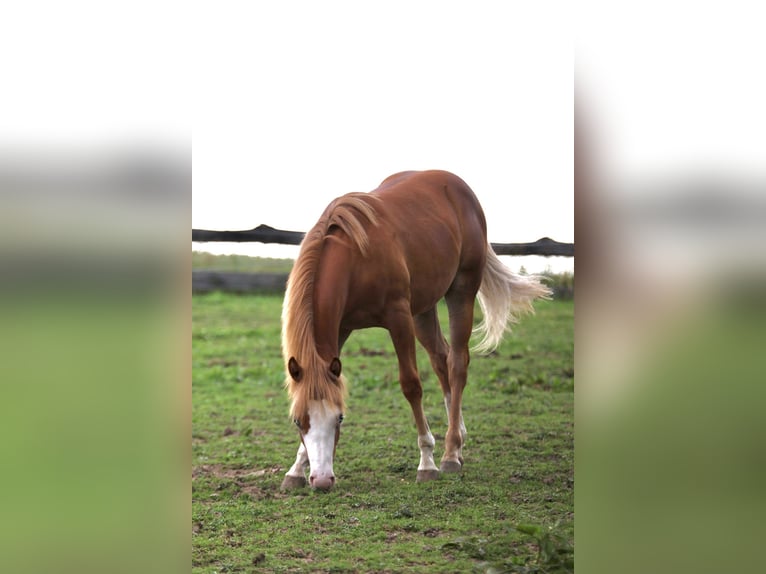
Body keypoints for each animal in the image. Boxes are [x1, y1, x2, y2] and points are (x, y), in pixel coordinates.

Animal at [280, 170, 551, 490]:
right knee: (441, 358)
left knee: (457, 363)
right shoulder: (341, 328)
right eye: (298, 421)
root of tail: (459, 187)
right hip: (423, 308)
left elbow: (411, 385)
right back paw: (458, 439)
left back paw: (449, 453)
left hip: (461, 291)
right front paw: (297, 467)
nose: (321, 480)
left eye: (340, 418)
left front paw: (427, 461)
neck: (356, 258)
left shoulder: (398, 319)